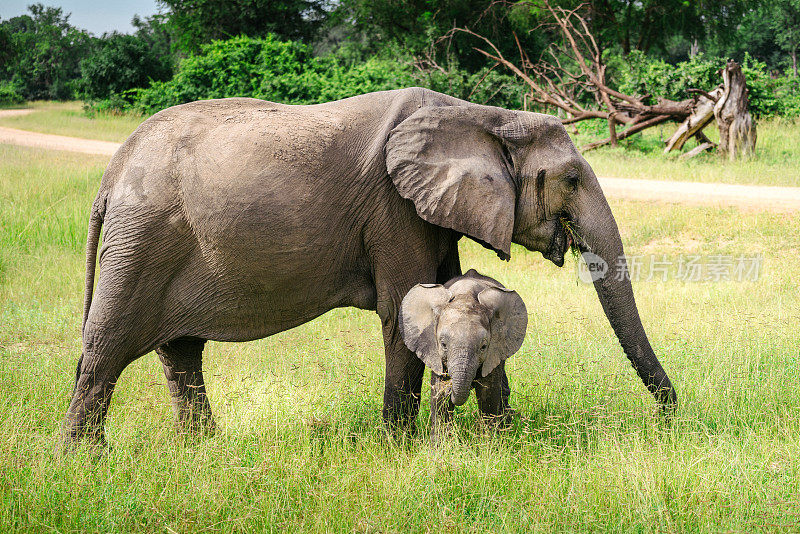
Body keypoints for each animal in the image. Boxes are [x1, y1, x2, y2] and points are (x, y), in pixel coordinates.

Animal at [398, 268, 524, 440]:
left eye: (483, 346)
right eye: (443, 345)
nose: (450, 386)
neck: (465, 296)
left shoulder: (494, 350)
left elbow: (488, 392)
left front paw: (489, 443)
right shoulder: (434, 352)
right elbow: (439, 398)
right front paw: (439, 445)